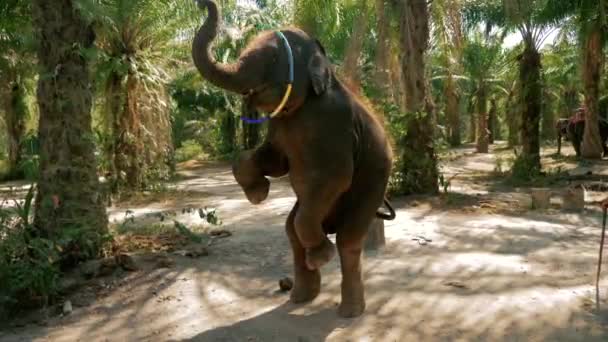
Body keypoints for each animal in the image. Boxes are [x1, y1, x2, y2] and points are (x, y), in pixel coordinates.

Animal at [192, 0, 396, 318]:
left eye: (273, 56)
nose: (202, 4)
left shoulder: (334, 120)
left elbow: (336, 175)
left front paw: (323, 255)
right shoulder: (279, 124)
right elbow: (276, 161)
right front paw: (257, 194)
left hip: (373, 185)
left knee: (347, 239)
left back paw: (347, 306)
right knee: (291, 230)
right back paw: (301, 296)